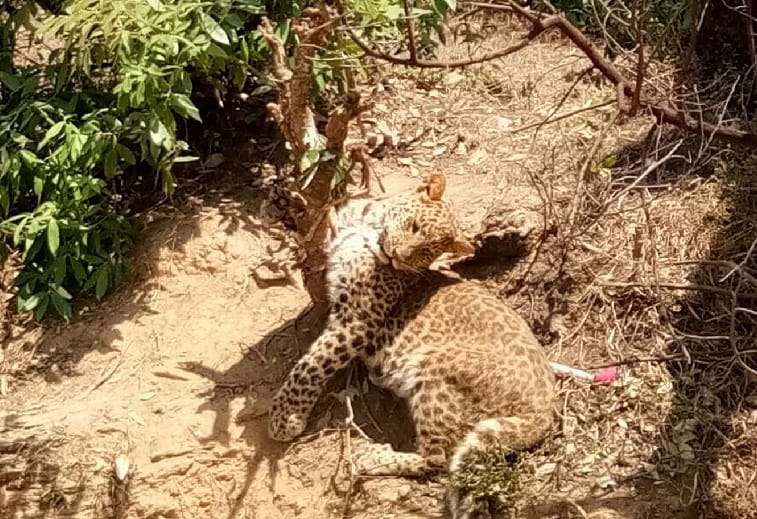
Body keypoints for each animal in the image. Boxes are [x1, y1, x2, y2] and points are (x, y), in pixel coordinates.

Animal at [267, 173, 556, 518]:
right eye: (415, 227)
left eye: (427, 251)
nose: (396, 255)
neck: (367, 228)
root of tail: (545, 408)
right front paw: (284, 202)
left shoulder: (357, 322)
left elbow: (312, 365)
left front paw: (285, 417)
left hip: (436, 369)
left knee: (438, 459)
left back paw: (373, 457)